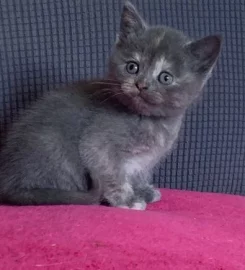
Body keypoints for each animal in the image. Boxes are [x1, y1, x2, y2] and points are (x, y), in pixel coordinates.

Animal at [0, 1, 222, 210]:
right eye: (132, 67)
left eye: (165, 77)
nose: (141, 84)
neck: (148, 120)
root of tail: (10, 184)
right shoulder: (97, 145)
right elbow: (112, 173)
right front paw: (127, 200)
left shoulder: (144, 161)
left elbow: (138, 173)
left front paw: (142, 191)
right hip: (53, 146)